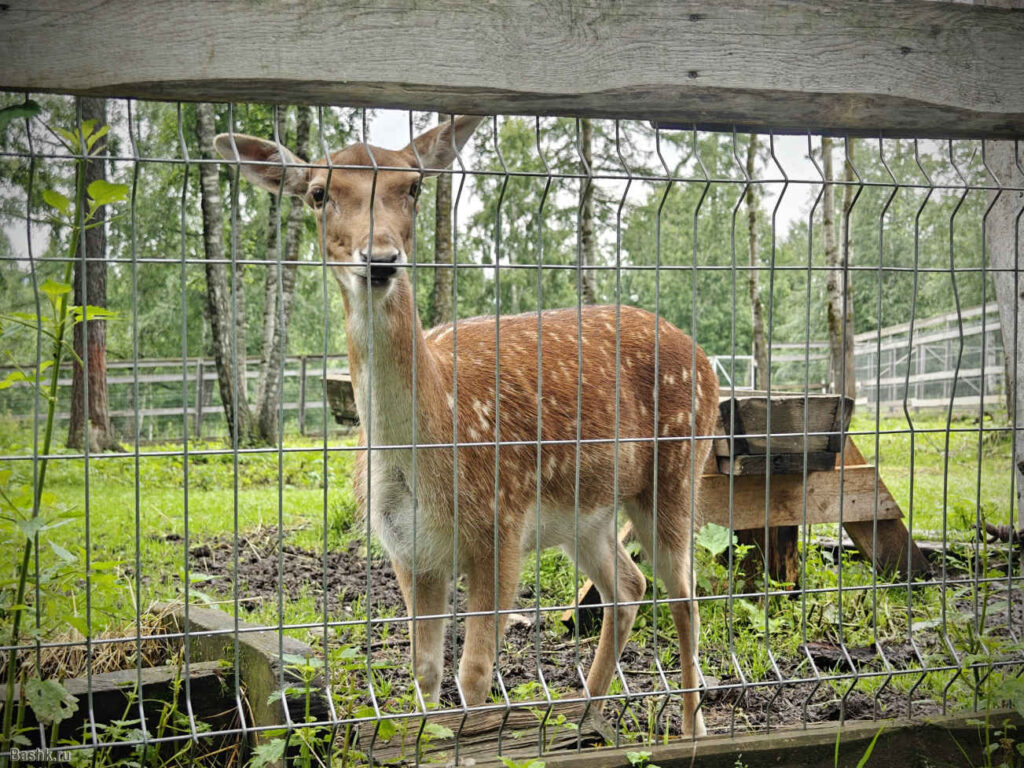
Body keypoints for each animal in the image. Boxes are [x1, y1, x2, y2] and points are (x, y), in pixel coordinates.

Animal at [215, 116, 718, 737]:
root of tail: (705, 359)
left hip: (679, 468)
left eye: (412, 186)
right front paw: (429, 732)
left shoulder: (502, 525)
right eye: (318, 193)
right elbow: (424, 669)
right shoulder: (407, 550)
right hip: (587, 515)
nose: (381, 258)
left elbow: (473, 674)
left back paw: (692, 728)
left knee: (683, 596)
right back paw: (583, 717)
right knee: (627, 588)